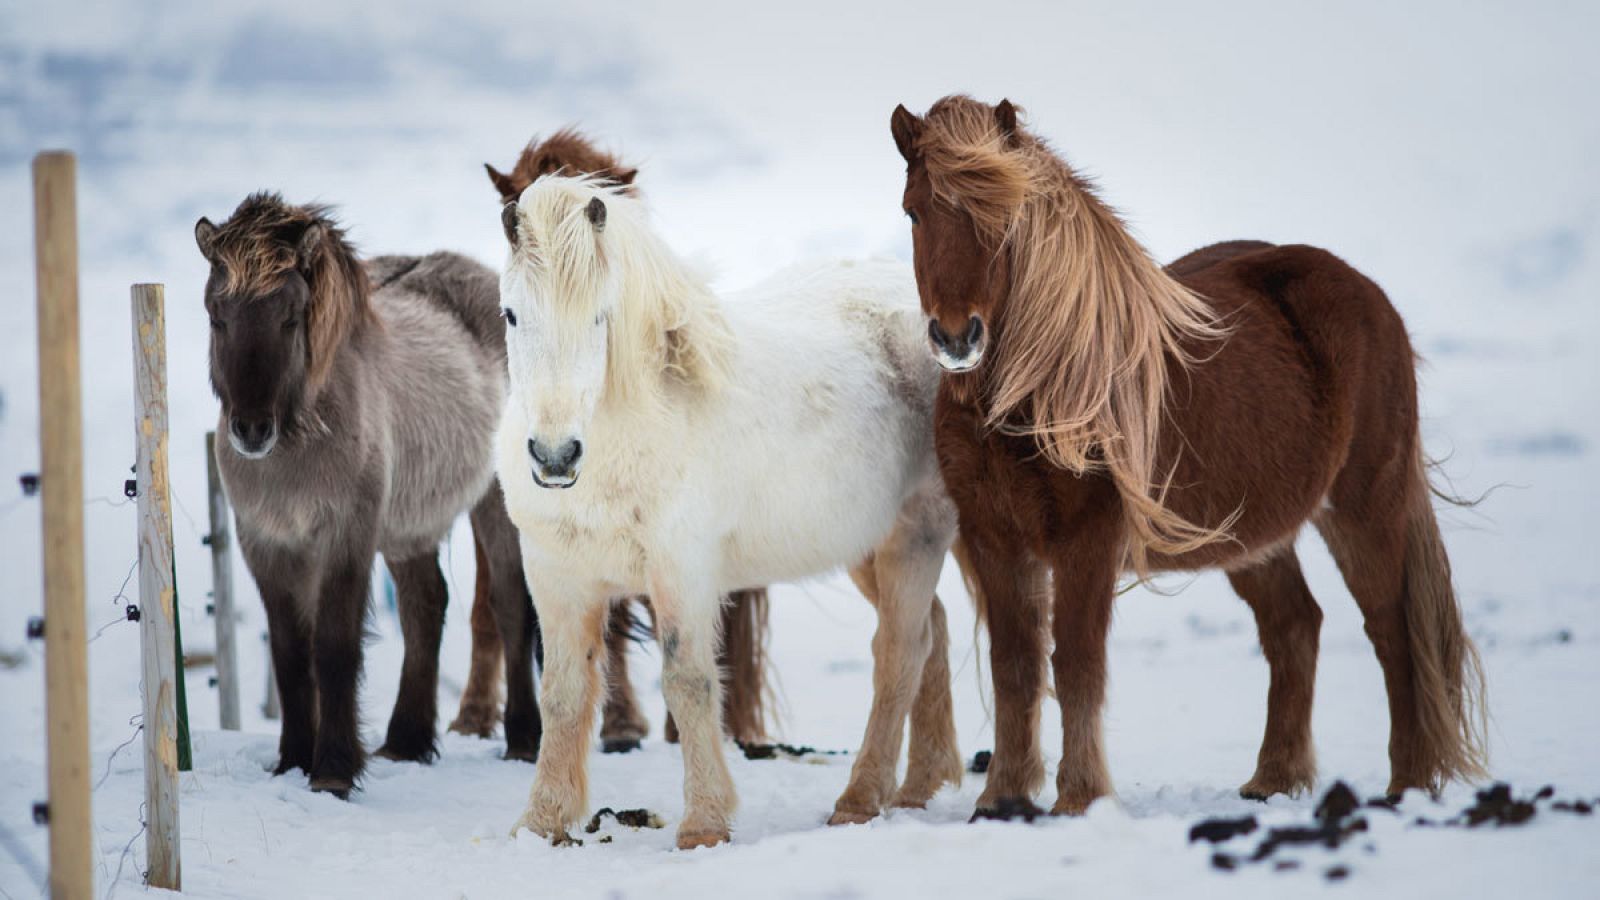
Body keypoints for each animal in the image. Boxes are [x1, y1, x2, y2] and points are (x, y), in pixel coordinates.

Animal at [195, 194, 544, 795]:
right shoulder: (266, 544)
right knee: (425, 604)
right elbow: (290, 655)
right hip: (408, 530)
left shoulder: (346, 537)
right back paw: (406, 742)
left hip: (495, 503)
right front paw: (292, 761)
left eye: (289, 317)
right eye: (217, 315)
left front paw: (333, 771)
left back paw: (523, 739)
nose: (251, 430)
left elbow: (333, 648)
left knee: (509, 604)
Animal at [496, 174, 967, 848]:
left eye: (601, 316)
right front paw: (541, 823)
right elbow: (561, 695)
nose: (555, 456)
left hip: (918, 535)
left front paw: (703, 825)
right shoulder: (558, 579)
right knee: (932, 633)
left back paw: (859, 800)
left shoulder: (682, 573)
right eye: (512, 313)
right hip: (867, 547)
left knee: (899, 652)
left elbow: (688, 682)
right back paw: (917, 787)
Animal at [889, 95, 1488, 815]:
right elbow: (1016, 667)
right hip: (1253, 536)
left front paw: (1079, 799)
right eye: (914, 210)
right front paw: (1002, 799)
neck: (1036, 390)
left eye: (1005, 217)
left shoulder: (1087, 540)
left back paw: (1407, 786)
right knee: (1296, 626)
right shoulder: (993, 538)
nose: (957, 337)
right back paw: (1273, 779)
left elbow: (1077, 663)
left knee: (1394, 633)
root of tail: (1370, 296)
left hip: (1363, 507)